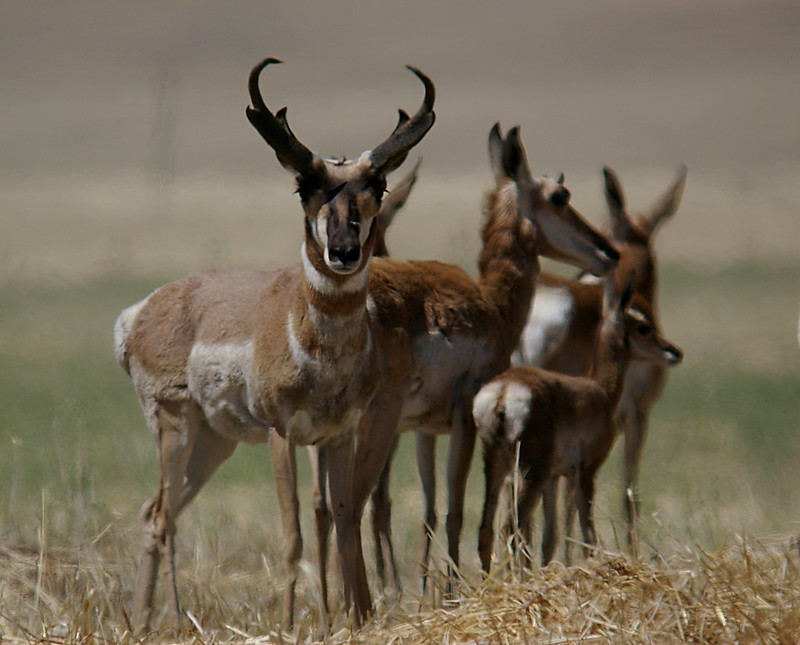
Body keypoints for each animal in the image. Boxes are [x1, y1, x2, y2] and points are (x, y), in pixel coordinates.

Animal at [113, 57, 435, 632]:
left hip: (212, 444)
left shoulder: (338, 435)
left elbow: (345, 519)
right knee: (165, 519)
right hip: (174, 429)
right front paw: (289, 625)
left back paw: (146, 622)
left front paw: (355, 619)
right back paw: (173, 620)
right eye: (304, 187)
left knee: (154, 514)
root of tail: (144, 311)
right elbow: (292, 537)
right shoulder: (281, 435)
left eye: (378, 187)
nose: (344, 251)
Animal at [474, 272, 683, 573]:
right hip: (531, 474)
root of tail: (503, 392)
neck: (597, 389)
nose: (674, 351)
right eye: (643, 327)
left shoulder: (555, 477)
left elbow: (551, 534)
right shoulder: (586, 472)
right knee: (511, 527)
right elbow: (588, 532)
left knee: (487, 529)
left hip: (497, 466)